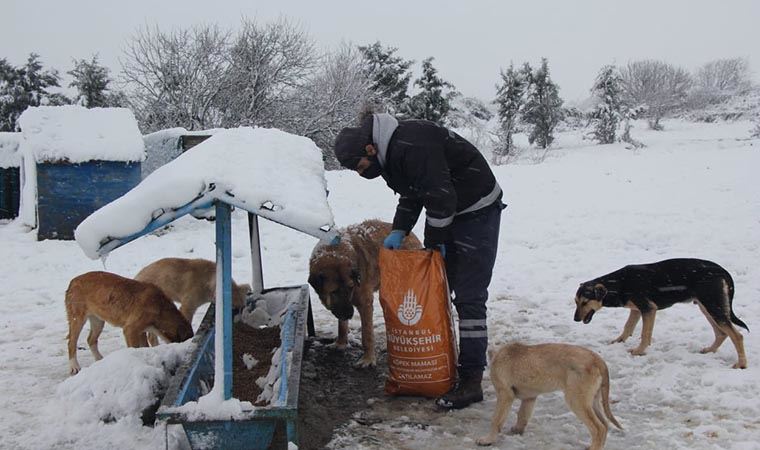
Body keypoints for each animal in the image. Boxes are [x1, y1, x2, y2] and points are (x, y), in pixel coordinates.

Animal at [65, 272, 193, 374]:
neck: (160, 308)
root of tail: (73, 280)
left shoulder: (141, 331)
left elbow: (145, 346)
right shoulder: (130, 330)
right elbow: (134, 348)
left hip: (98, 321)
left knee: (91, 339)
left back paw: (99, 359)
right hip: (78, 319)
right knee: (71, 342)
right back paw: (74, 366)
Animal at [308, 220, 422, 368]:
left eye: (350, 287)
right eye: (334, 291)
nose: (349, 314)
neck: (335, 251)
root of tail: (411, 235)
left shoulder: (365, 303)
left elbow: (367, 334)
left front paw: (368, 359)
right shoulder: (342, 307)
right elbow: (341, 325)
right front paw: (340, 343)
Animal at [478, 342, 620, 448]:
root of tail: (597, 359)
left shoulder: (504, 395)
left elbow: (496, 419)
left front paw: (488, 439)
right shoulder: (529, 398)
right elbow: (522, 415)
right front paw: (518, 430)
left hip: (576, 401)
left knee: (598, 429)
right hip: (592, 401)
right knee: (605, 425)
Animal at [576, 258, 748, 368]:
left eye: (585, 302)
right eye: (576, 301)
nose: (576, 319)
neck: (618, 284)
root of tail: (722, 271)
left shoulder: (648, 309)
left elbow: (645, 334)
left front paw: (639, 351)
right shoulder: (636, 310)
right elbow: (628, 327)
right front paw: (618, 341)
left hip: (712, 305)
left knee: (737, 335)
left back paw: (741, 364)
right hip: (706, 307)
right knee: (722, 333)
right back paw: (710, 350)